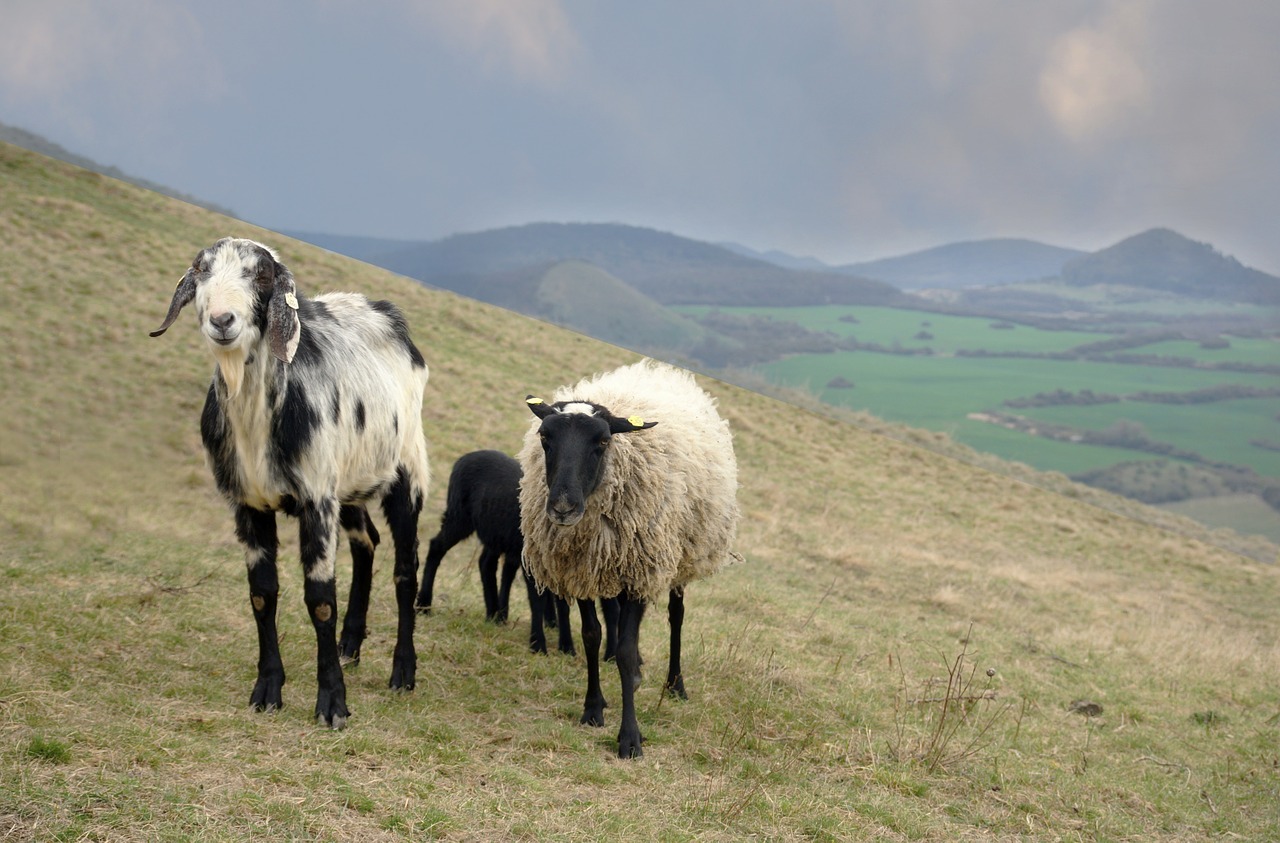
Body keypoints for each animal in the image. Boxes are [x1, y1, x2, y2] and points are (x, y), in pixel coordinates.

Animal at [149, 239, 430, 731]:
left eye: (261, 275)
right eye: (201, 271)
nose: (222, 320)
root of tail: (386, 313)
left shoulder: (316, 499)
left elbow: (319, 600)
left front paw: (333, 703)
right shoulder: (248, 504)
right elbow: (262, 594)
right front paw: (267, 690)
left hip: (406, 471)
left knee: (405, 571)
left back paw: (402, 671)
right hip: (348, 482)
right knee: (366, 543)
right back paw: (350, 642)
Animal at [517, 358, 742, 757]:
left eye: (603, 442)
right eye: (545, 438)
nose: (563, 507)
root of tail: (658, 370)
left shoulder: (641, 570)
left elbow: (623, 650)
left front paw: (630, 737)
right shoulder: (583, 571)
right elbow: (592, 635)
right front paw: (593, 707)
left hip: (677, 557)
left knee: (676, 616)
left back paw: (675, 684)